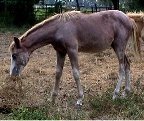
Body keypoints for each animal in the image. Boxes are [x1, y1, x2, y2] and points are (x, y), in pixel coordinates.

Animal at [9, 9, 141, 105]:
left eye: (14, 55)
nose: (12, 75)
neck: (59, 28)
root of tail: (129, 18)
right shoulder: (60, 52)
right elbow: (58, 73)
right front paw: (52, 98)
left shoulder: (72, 50)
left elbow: (76, 73)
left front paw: (80, 99)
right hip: (117, 47)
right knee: (127, 65)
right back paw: (126, 92)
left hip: (119, 47)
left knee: (121, 68)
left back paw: (115, 94)